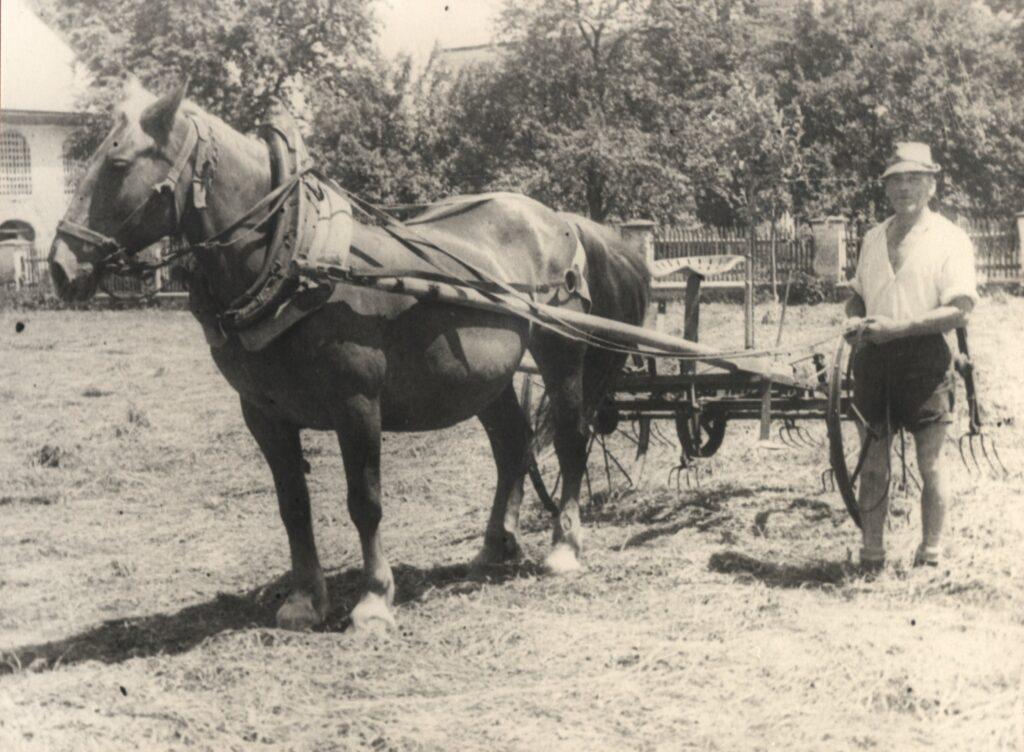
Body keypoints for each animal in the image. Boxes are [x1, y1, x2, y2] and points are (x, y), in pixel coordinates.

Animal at [49, 81, 650, 631]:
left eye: (118, 162)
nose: (60, 266)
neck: (294, 257)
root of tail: (561, 220)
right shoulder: (263, 414)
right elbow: (293, 505)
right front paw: (303, 600)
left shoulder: (357, 406)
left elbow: (365, 501)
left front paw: (374, 600)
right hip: (490, 378)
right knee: (513, 447)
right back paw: (495, 545)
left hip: (560, 352)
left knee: (570, 437)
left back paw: (564, 547)